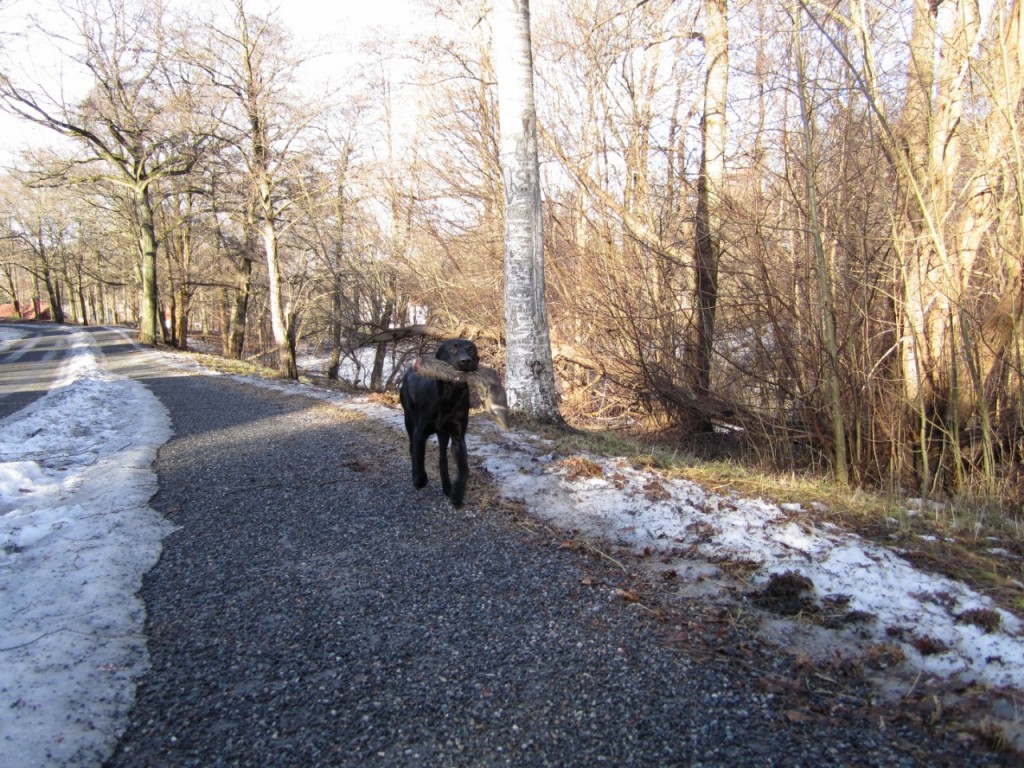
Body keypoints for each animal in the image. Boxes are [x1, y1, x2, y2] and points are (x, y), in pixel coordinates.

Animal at [399, 339, 479, 507]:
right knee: (411, 449)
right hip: (408, 419)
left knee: (442, 458)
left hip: (443, 434)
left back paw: (447, 486)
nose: (465, 361)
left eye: (471, 349)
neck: (449, 396)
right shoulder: (420, 434)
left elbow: (464, 470)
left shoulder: (458, 438)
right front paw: (420, 480)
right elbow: (419, 457)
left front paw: (457, 494)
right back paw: (415, 476)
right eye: (452, 349)